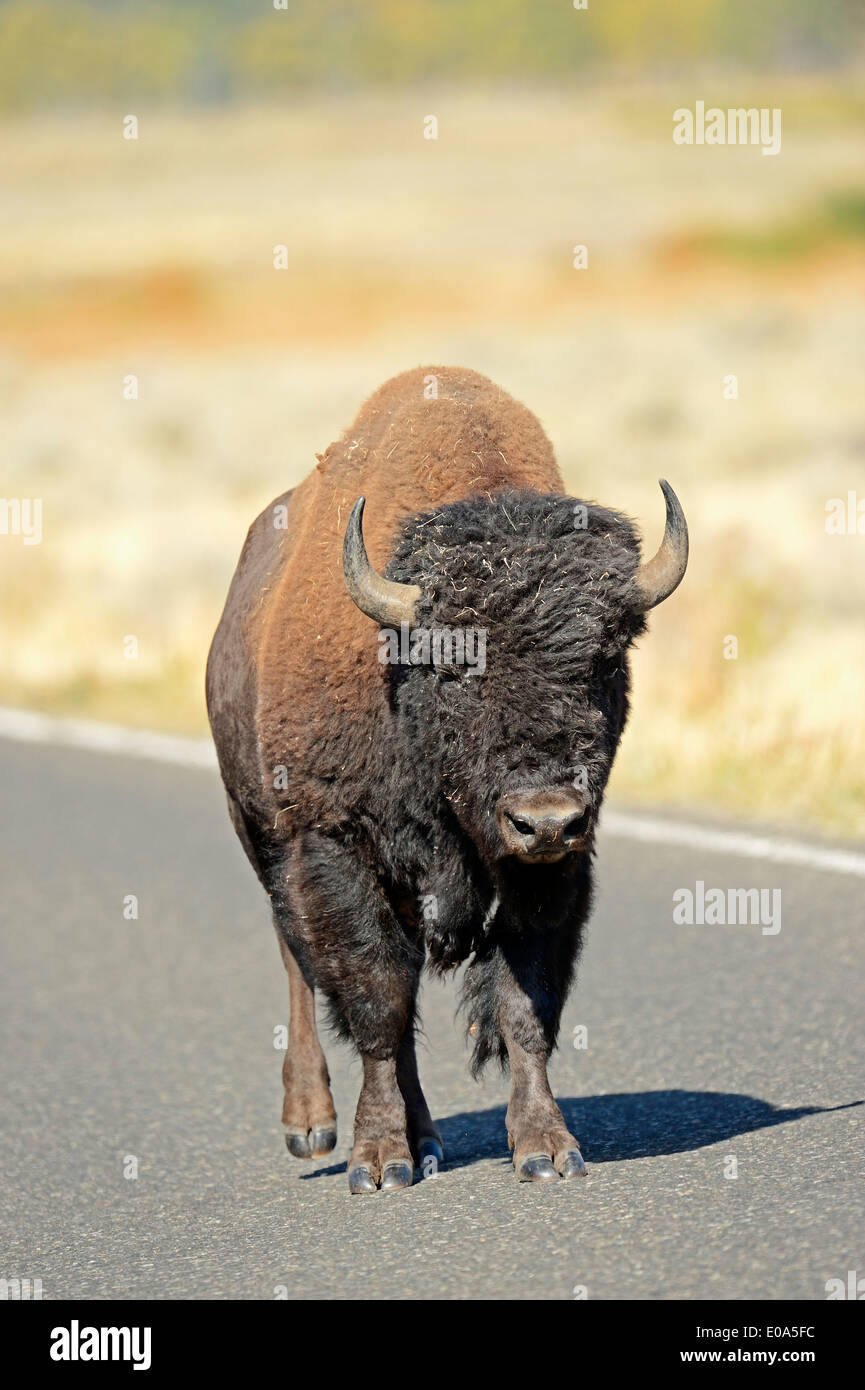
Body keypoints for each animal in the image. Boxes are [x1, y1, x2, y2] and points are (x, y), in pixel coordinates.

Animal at [207, 369, 686, 1195]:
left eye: (602, 659)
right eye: (456, 667)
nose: (544, 817)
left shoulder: (553, 871)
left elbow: (523, 1004)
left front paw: (546, 1149)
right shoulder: (328, 846)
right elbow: (374, 1000)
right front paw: (375, 1161)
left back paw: (427, 1138)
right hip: (261, 834)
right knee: (302, 964)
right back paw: (313, 1126)